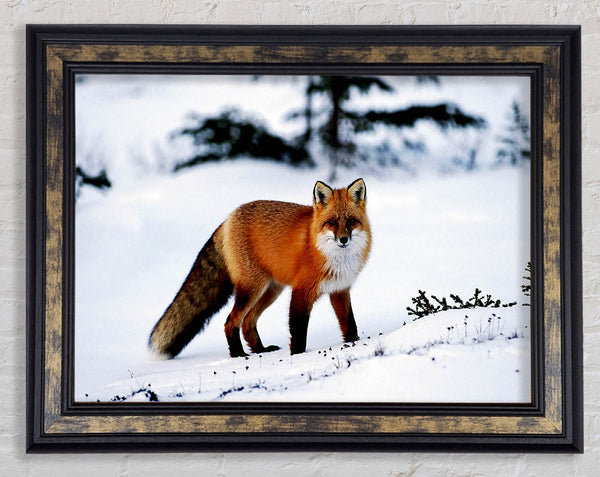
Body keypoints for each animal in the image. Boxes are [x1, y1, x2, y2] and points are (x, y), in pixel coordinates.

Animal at [149, 178, 370, 356]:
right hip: (252, 288)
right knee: (231, 321)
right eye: (332, 222)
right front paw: (298, 356)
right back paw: (238, 355)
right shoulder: (301, 291)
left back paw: (260, 350)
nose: (343, 239)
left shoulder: (340, 289)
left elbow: (349, 324)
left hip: (271, 290)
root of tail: (228, 218)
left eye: (351, 221)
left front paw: (354, 343)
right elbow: (298, 331)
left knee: (247, 322)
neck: (335, 258)